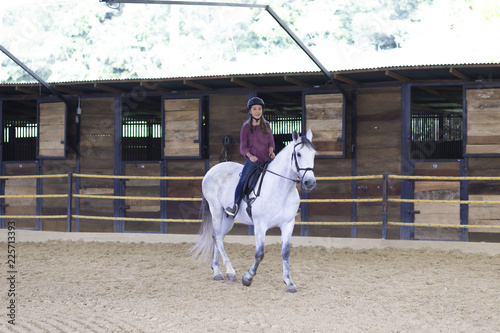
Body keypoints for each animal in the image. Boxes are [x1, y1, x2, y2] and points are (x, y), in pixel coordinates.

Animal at [191, 128, 316, 290]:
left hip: (228, 217)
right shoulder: (260, 225)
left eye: (314, 154)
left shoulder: (288, 224)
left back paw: (217, 271)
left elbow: (285, 252)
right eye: (299, 154)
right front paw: (247, 278)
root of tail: (211, 170)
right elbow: (260, 254)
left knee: (218, 237)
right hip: (216, 210)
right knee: (217, 237)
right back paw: (229, 272)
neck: (280, 188)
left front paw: (289, 282)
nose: (310, 182)